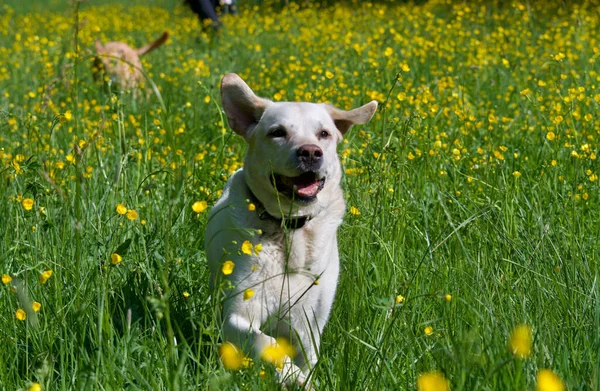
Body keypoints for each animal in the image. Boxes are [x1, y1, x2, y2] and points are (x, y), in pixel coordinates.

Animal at [205, 73, 376, 386]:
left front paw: (304, 379)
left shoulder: (311, 323)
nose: (310, 152)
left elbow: (308, 358)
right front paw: (290, 374)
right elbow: (264, 342)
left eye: (324, 133)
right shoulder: (237, 314)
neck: (290, 230)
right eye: (277, 132)